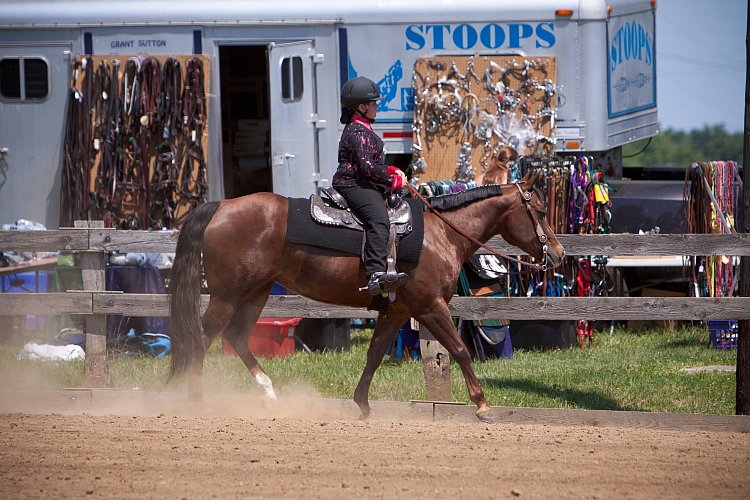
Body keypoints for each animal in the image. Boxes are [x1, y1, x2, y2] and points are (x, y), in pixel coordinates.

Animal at [166, 173, 564, 422]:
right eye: (539, 211)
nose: (558, 254)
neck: (439, 234)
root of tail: (220, 206)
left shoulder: (398, 309)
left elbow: (374, 354)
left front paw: (362, 404)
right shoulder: (430, 305)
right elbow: (460, 349)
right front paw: (482, 406)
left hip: (255, 293)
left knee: (235, 336)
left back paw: (268, 393)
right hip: (227, 295)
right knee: (202, 338)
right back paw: (196, 400)